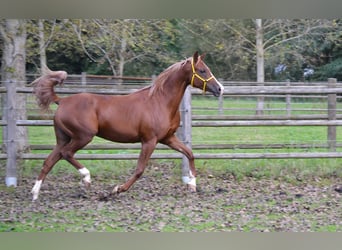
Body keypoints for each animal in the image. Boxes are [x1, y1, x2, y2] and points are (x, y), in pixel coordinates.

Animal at [30, 51, 223, 200]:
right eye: (202, 70)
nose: (220, 89)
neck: (160, 102)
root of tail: (62, 101)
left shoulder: (168, 138)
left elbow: (190, 154)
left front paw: (192, 185)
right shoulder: (149, 140)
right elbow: (139, 169)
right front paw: (117, 190)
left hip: (63, 138)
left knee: (49, 161)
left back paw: (35, 194)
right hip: (83, 136)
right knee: (66, 154)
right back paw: (86, 179)